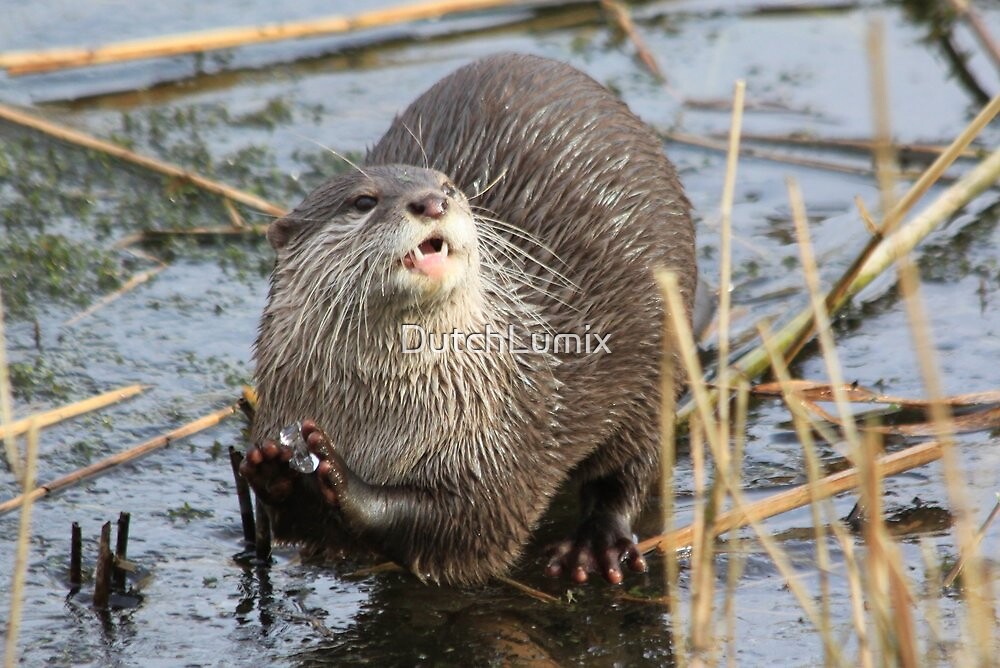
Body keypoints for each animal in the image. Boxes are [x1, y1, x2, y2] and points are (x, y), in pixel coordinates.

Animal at [241, 53, 695, 586]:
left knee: (633, 463)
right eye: (363, 201)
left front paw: (340, 474)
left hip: (659, 356)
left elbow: (469, 521)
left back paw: (595, 545)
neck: (380, 418)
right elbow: (292, 525)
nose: (432, 202)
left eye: (449, 187)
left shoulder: (505, 433)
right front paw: (273, 472)